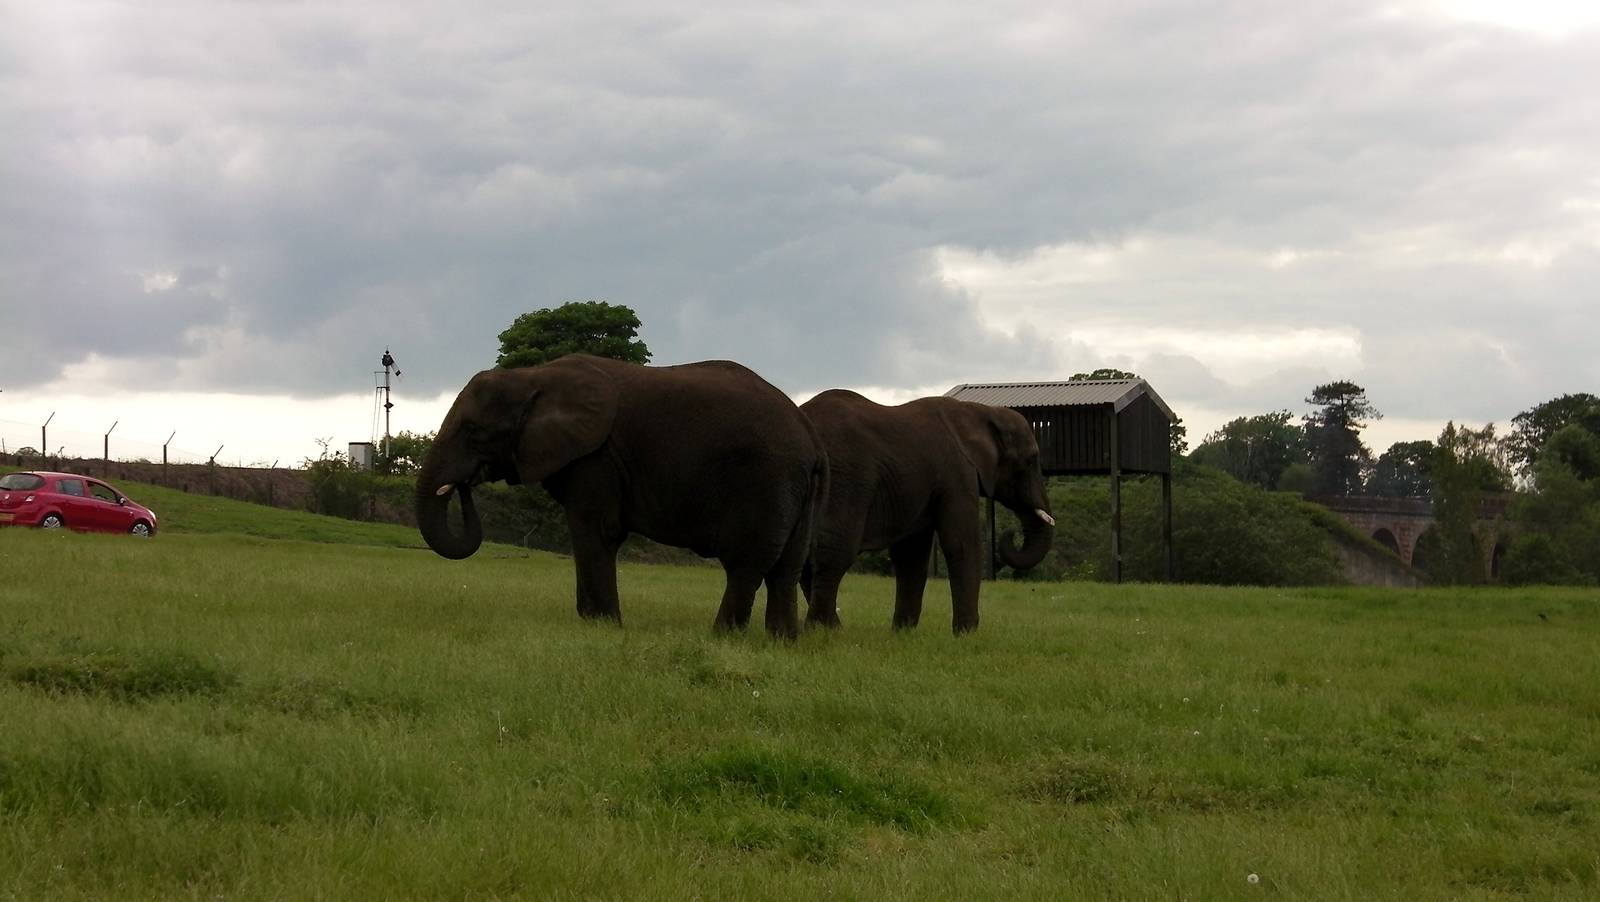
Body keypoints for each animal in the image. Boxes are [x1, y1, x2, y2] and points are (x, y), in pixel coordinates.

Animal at [416, 354, 827, 638]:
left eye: (473, 431)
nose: (464, 483)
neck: (533, 376)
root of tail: (809, 434)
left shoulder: (597, 457)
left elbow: (596, 530)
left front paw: (601, 626)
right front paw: (595, 623)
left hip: (766, 479)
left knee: (747, 563)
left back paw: (722, 638)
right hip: (798, 488)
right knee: (786, 568)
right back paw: (781, 642)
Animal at [800, 391, 1055, 634]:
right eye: (1030, 461)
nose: (1011, 533)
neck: (981, 412)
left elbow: (911, 554)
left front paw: (903, 633)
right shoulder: (957, 473)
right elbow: (962, 544)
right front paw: (967, 635)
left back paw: (830, 628)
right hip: (845, 479)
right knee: (836, 550)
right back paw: (824, 630)